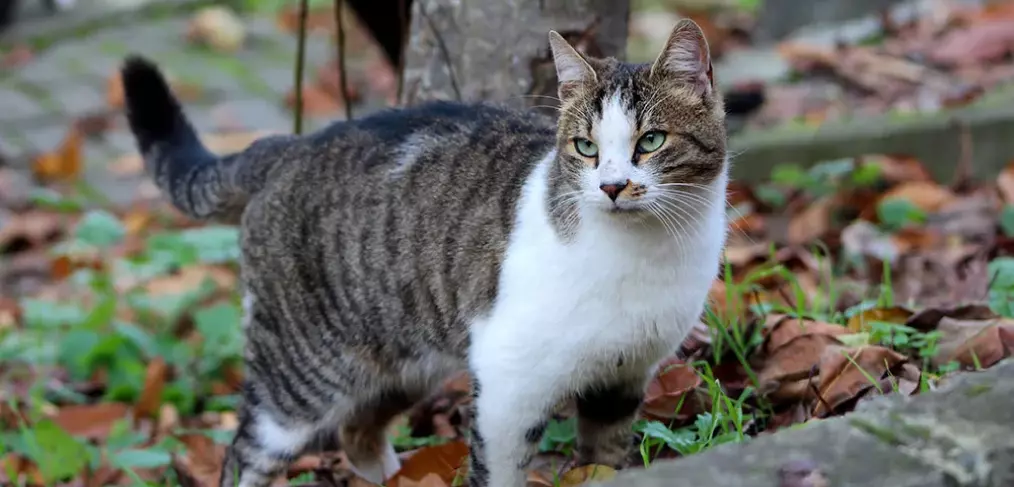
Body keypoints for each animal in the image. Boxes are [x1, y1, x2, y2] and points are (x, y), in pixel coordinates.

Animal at [120, 18, 730, 487]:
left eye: (651, 141)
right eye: (585, 147)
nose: (612, 186)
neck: (645, 255)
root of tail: (290, 144)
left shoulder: (622, 379)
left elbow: (604, 458)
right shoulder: (509, 384)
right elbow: (499, 470)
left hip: (402, 363)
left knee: (357, 433)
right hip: (296, 379)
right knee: (244, 454)